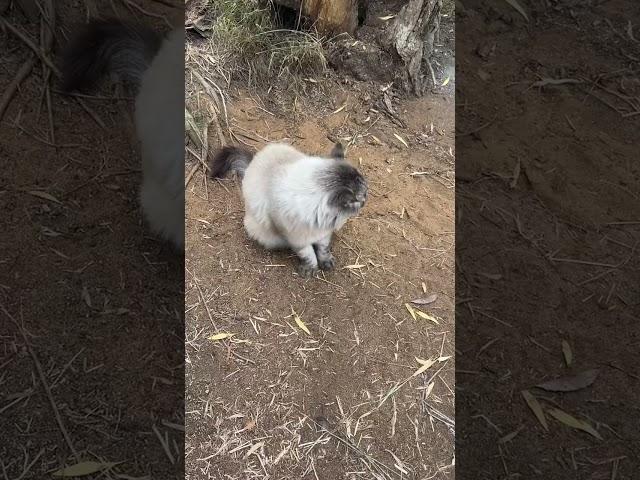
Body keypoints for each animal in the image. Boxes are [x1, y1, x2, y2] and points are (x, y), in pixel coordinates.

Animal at [211, 142, 368, 278]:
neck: (319, 219)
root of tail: (253, 161)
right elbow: (309, 256)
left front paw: (326, 262)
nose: (367, 195)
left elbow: (323, 250)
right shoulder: (298, 240)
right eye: (362, 197)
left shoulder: (323, 233)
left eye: (365, 190)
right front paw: (310, 269)